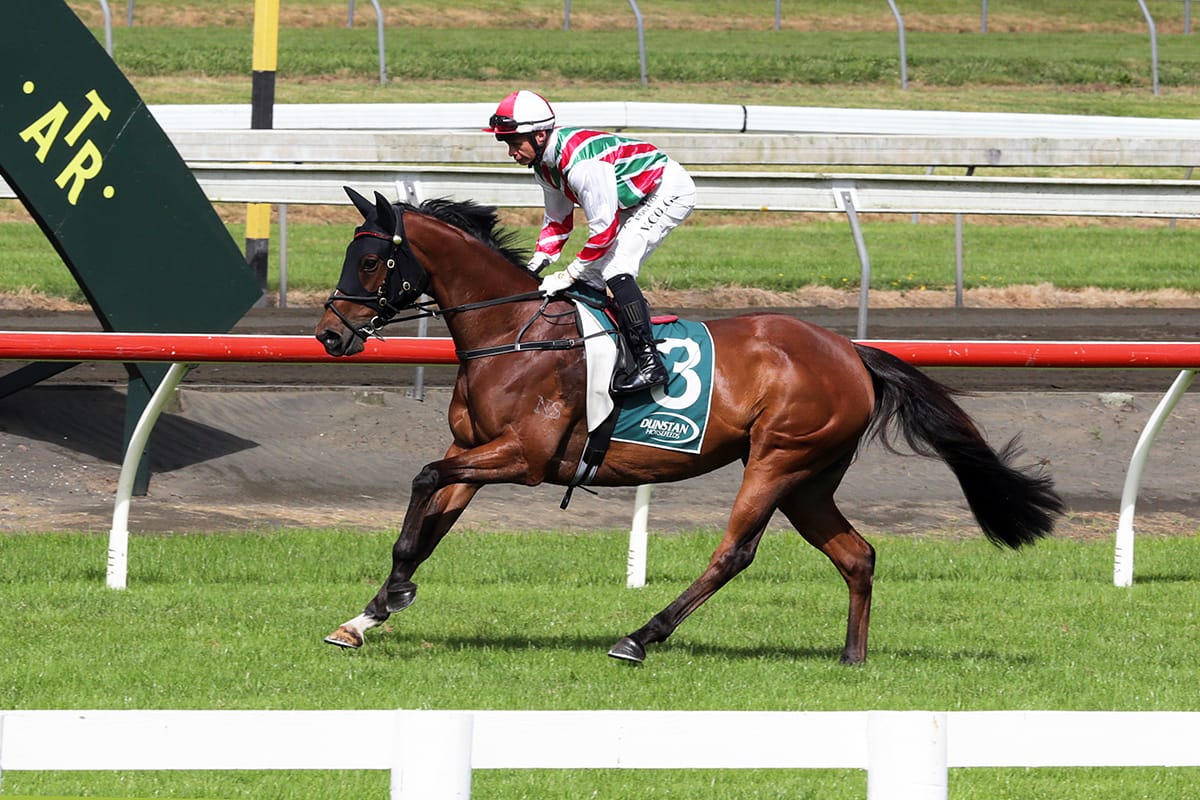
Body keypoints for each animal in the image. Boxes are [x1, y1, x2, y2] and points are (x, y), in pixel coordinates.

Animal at [315, 187, 1064, 665]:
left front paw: (391, 598)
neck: (513, 332)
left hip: (778, 458)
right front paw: (366, 616)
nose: (328, 334)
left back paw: (639, 638)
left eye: (372, 260)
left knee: (734, 553)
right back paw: (852, 657)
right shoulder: (473, 448)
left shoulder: (522, 457)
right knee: (857, 555)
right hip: (809, 479)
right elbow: (425, 527)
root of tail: (853, 353)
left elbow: (422, 480)